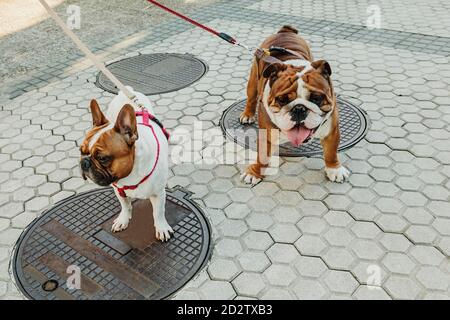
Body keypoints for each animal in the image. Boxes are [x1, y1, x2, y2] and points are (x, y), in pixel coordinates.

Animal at [80, 86, 173, 241]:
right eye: (80, 151)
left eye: (102, 158)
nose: (84, 162)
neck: (131, 175)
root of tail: (127, 90)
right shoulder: (118, 190)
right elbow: (125, 206)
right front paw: (123, 219)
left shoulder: (158, 194)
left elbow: (158, 212)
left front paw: (161, 228)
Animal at [241, 25, 350, 185]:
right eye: (282, 100)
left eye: (316, 98)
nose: (299, 108)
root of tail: (285, 31)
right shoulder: (266, 134)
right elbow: (262, 156)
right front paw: (255, 172)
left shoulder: (332, 131)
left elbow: (331, 152)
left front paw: (334, 169)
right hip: (253, 80)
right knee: (251, 98)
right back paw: (247, 114)